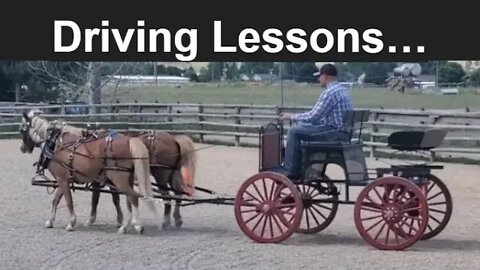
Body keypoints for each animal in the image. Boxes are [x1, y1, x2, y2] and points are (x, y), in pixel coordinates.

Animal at [19, 108, 163, 233]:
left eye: (21, 130)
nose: (22, 148)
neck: (55, 144)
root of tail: (129, 140)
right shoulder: (63, 179)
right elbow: (56, 200)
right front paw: (50, 221)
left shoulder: (63, 179)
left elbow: (68, 201)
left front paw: (71, 223)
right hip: (127, 178)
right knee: (129, 200)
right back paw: (127, 225)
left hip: (119, 179)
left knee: (133, 197)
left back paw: (134, 225)